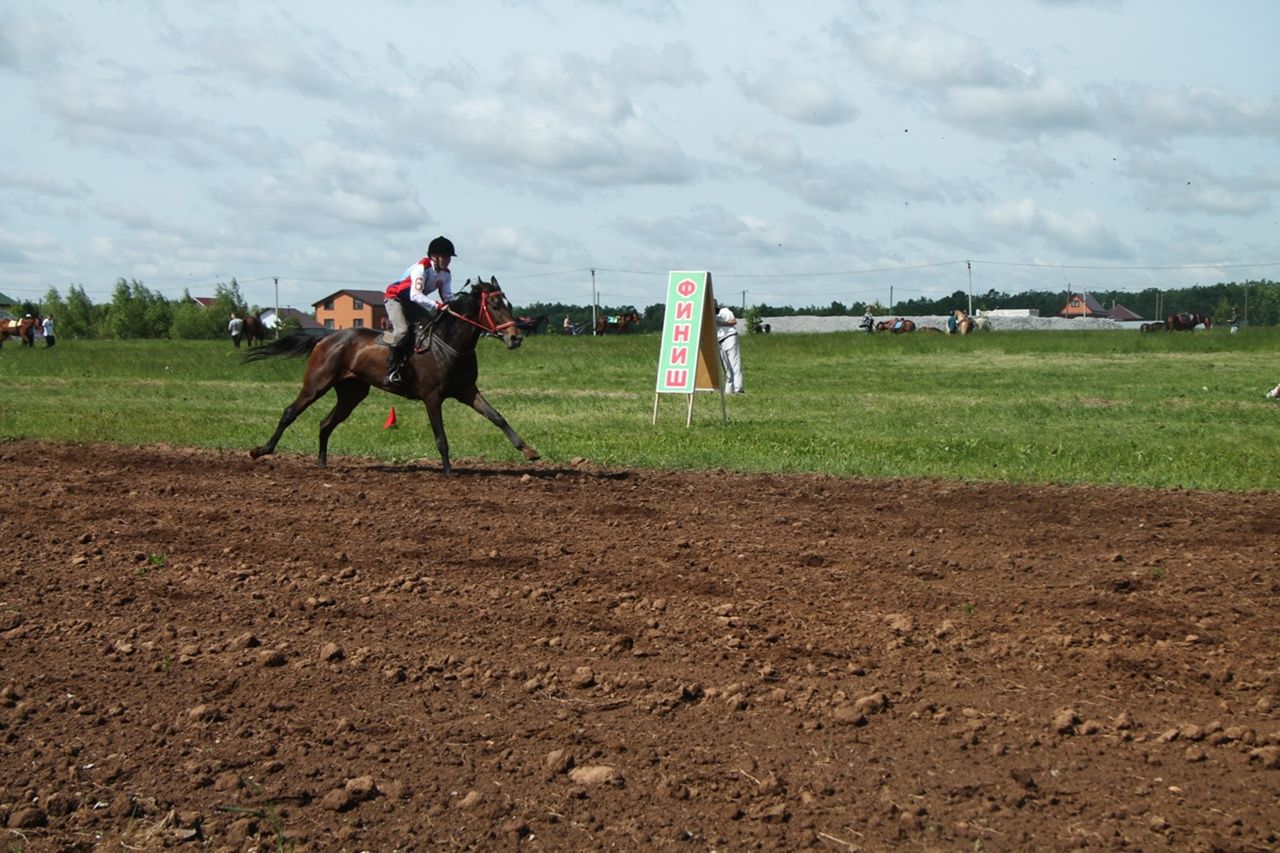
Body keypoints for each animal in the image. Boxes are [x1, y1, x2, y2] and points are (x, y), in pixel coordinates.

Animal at [244, 277, 540, 471]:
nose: (516, 337)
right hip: (317, 383)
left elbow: (498, 417)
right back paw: (261, 450)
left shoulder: (467, 391)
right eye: (494, 305)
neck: (449, 345)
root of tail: (326, 337)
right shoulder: (432, 397)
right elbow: (441, 437)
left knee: (325, 423)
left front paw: (529, 451)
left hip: (352, 393)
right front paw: (448, 472)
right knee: (290, 412)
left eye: (509, 304)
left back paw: (322, 464)